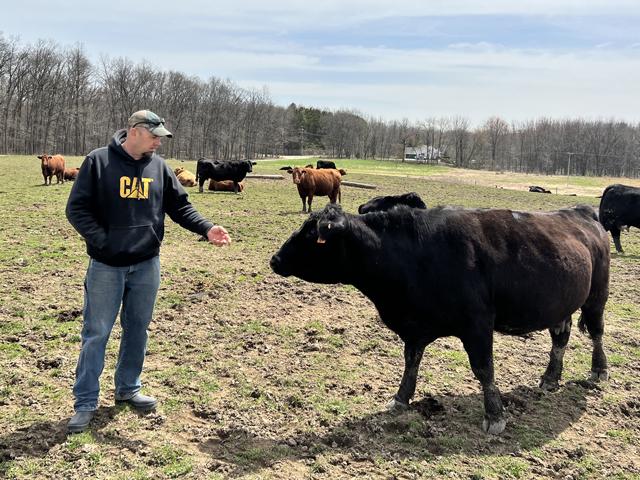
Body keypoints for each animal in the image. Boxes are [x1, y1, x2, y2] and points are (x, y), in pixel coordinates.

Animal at [270, 202, 608, 436]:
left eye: (311, 234)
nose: (275, 259)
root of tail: (580, 212)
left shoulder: (477, 324)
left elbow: (484, 369)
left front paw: (495, 416)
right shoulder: (414, 327)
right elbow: (411, 363)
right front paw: (400, 399)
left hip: (597, 296)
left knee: (596, 333)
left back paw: (598, 370)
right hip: (560, 305)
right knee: (560, 338)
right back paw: (550, 378)